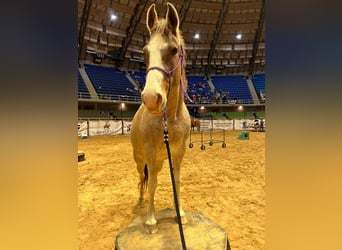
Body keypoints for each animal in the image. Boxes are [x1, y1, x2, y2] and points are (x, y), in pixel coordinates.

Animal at [130, 1, 191, 233]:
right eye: (145, 51)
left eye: (173, 50)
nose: (150, 99)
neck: (170, 120)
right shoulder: (149, 151)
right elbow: (153, 184)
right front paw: (151, 220)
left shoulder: (178, 153)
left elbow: (177, 181)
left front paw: (179, 213)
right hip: (140, 159)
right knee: (143, 179)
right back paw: (140, 200)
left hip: (159, 160)